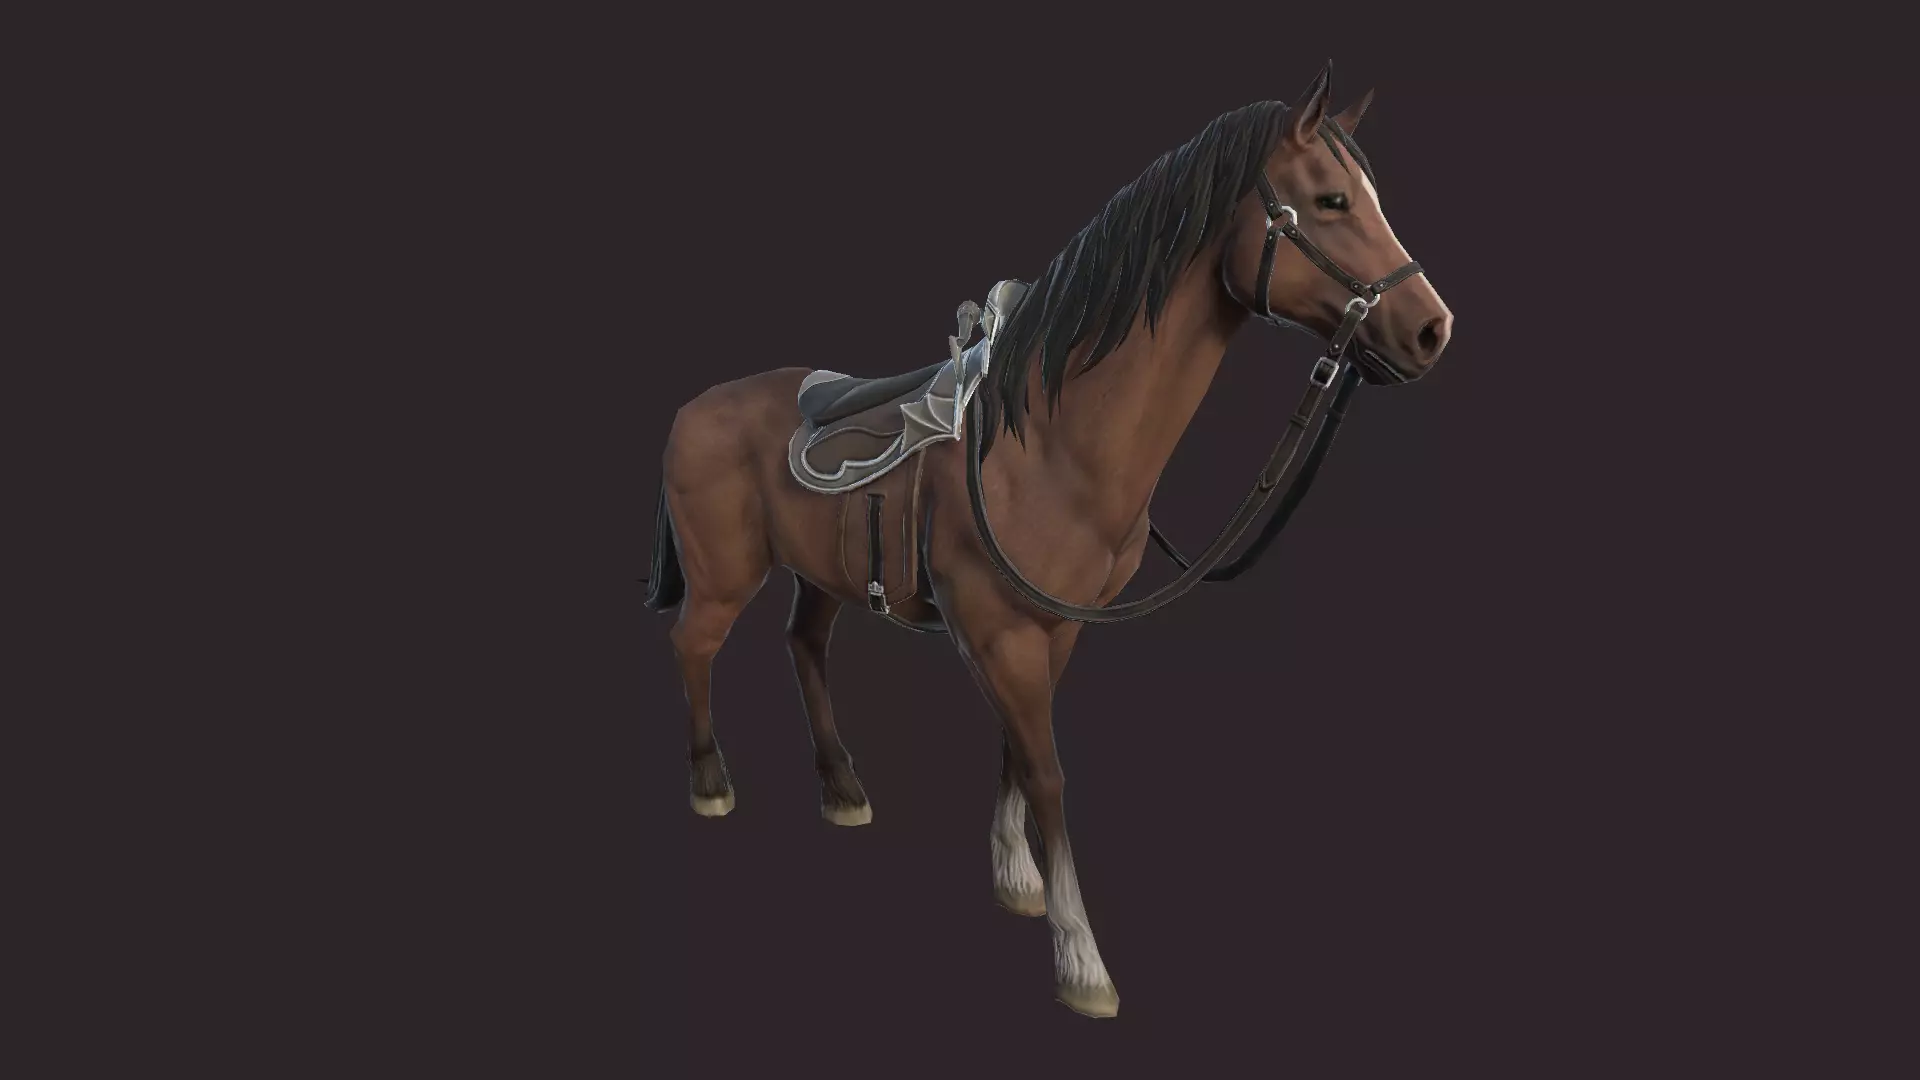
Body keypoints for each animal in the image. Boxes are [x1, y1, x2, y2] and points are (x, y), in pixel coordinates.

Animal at [647, 62, 1453, 1018]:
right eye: (1330, 200)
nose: (1433, 329)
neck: (1054, 443)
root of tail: (691, 410)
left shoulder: (1054, 628)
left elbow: (1016, 752)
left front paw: (1016, 878)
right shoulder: (1000, 633)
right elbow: (1048, 773)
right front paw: (1080, 958)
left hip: (819, 575)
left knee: (804, 645)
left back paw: (842, 788)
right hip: (723, 576)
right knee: (694, 645)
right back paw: (710, 785)